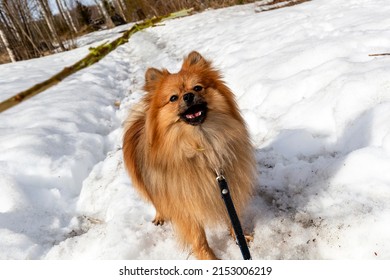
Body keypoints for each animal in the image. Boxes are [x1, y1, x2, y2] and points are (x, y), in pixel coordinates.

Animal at [122, 50, 256, 260]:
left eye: (198, 87)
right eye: (173, 98)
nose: (188, 96)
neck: (201, 144)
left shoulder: (225, 187)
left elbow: (232, 216)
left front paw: (240, 237)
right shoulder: (184, 204)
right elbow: (198, 237)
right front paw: (209, 258)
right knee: (156, 201)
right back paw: (160, 216)